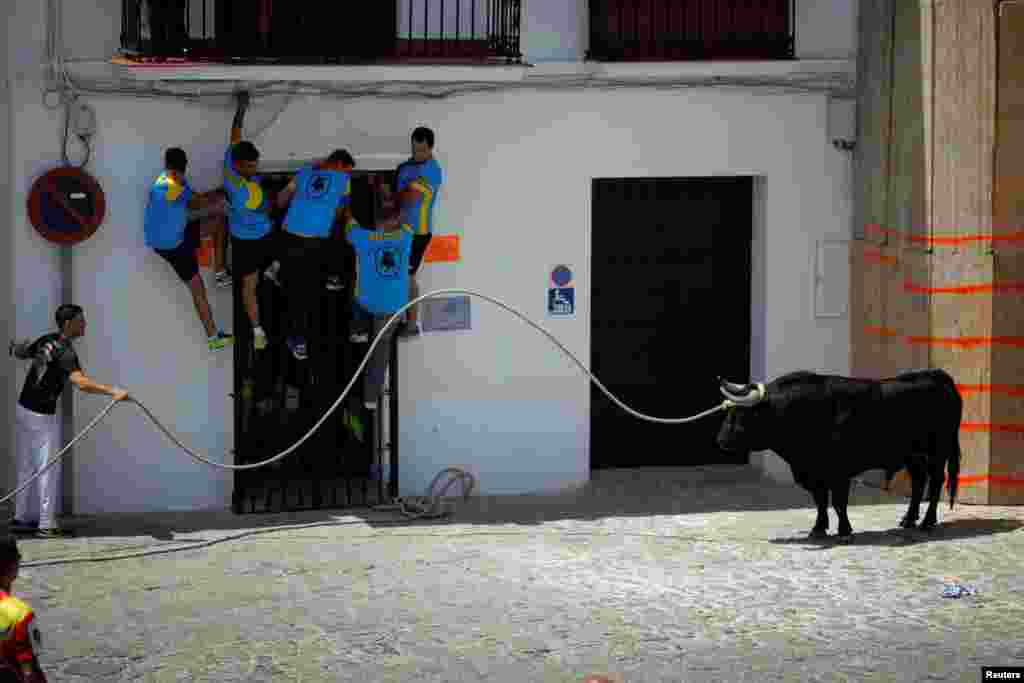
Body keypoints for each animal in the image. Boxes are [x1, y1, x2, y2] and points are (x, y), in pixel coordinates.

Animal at [716, 370, 962, 536]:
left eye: (740, 415)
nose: (720, 440)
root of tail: (938, 375)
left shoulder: (840, 470)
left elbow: (838, 502)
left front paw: (844, 530)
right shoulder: (813, 471)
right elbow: (820, 500)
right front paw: (818, 528)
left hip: (939, 450)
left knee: (936, 481)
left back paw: (927, 522)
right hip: (913, 456)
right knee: (919, 481)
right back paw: (909, 520)